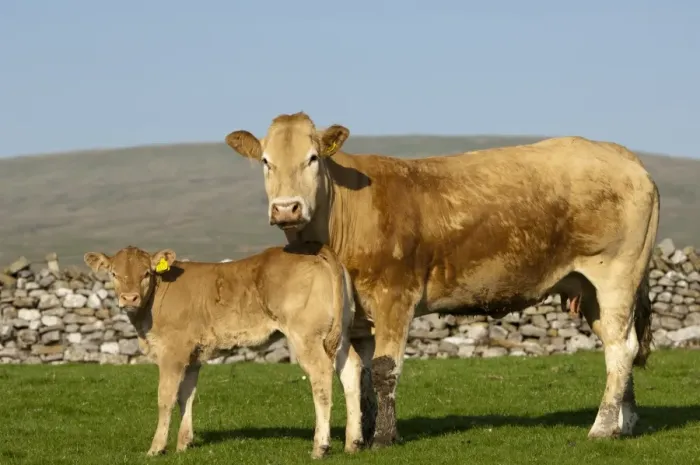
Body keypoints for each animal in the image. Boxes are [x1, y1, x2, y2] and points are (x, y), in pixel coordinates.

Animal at [83, 242, 364, 459]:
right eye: (114, 274)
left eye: (146, 273)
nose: (129, 298)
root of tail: (316, 249)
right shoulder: (193, 356)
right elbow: (187, 396)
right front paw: (184, 443)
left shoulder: (173, 352)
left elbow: (166, 397)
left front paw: (156, 448)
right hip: (340, 334)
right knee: (351, 369)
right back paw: (353, 442)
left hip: (305, 335)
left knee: (321, 376)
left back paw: (321, 446)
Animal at [223, 112, 660, 449]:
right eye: (266, 162)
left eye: (312, 158)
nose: (286, 208)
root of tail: (619, 154)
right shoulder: (358, 316)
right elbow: (360, 376)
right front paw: (363, 431)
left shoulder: (395, 295)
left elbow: (383, 369)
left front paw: (384, 437)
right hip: (589, 288)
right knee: (617, 345)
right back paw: (626, 422)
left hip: (616, 274)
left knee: (621, 348)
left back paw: (602, 427)